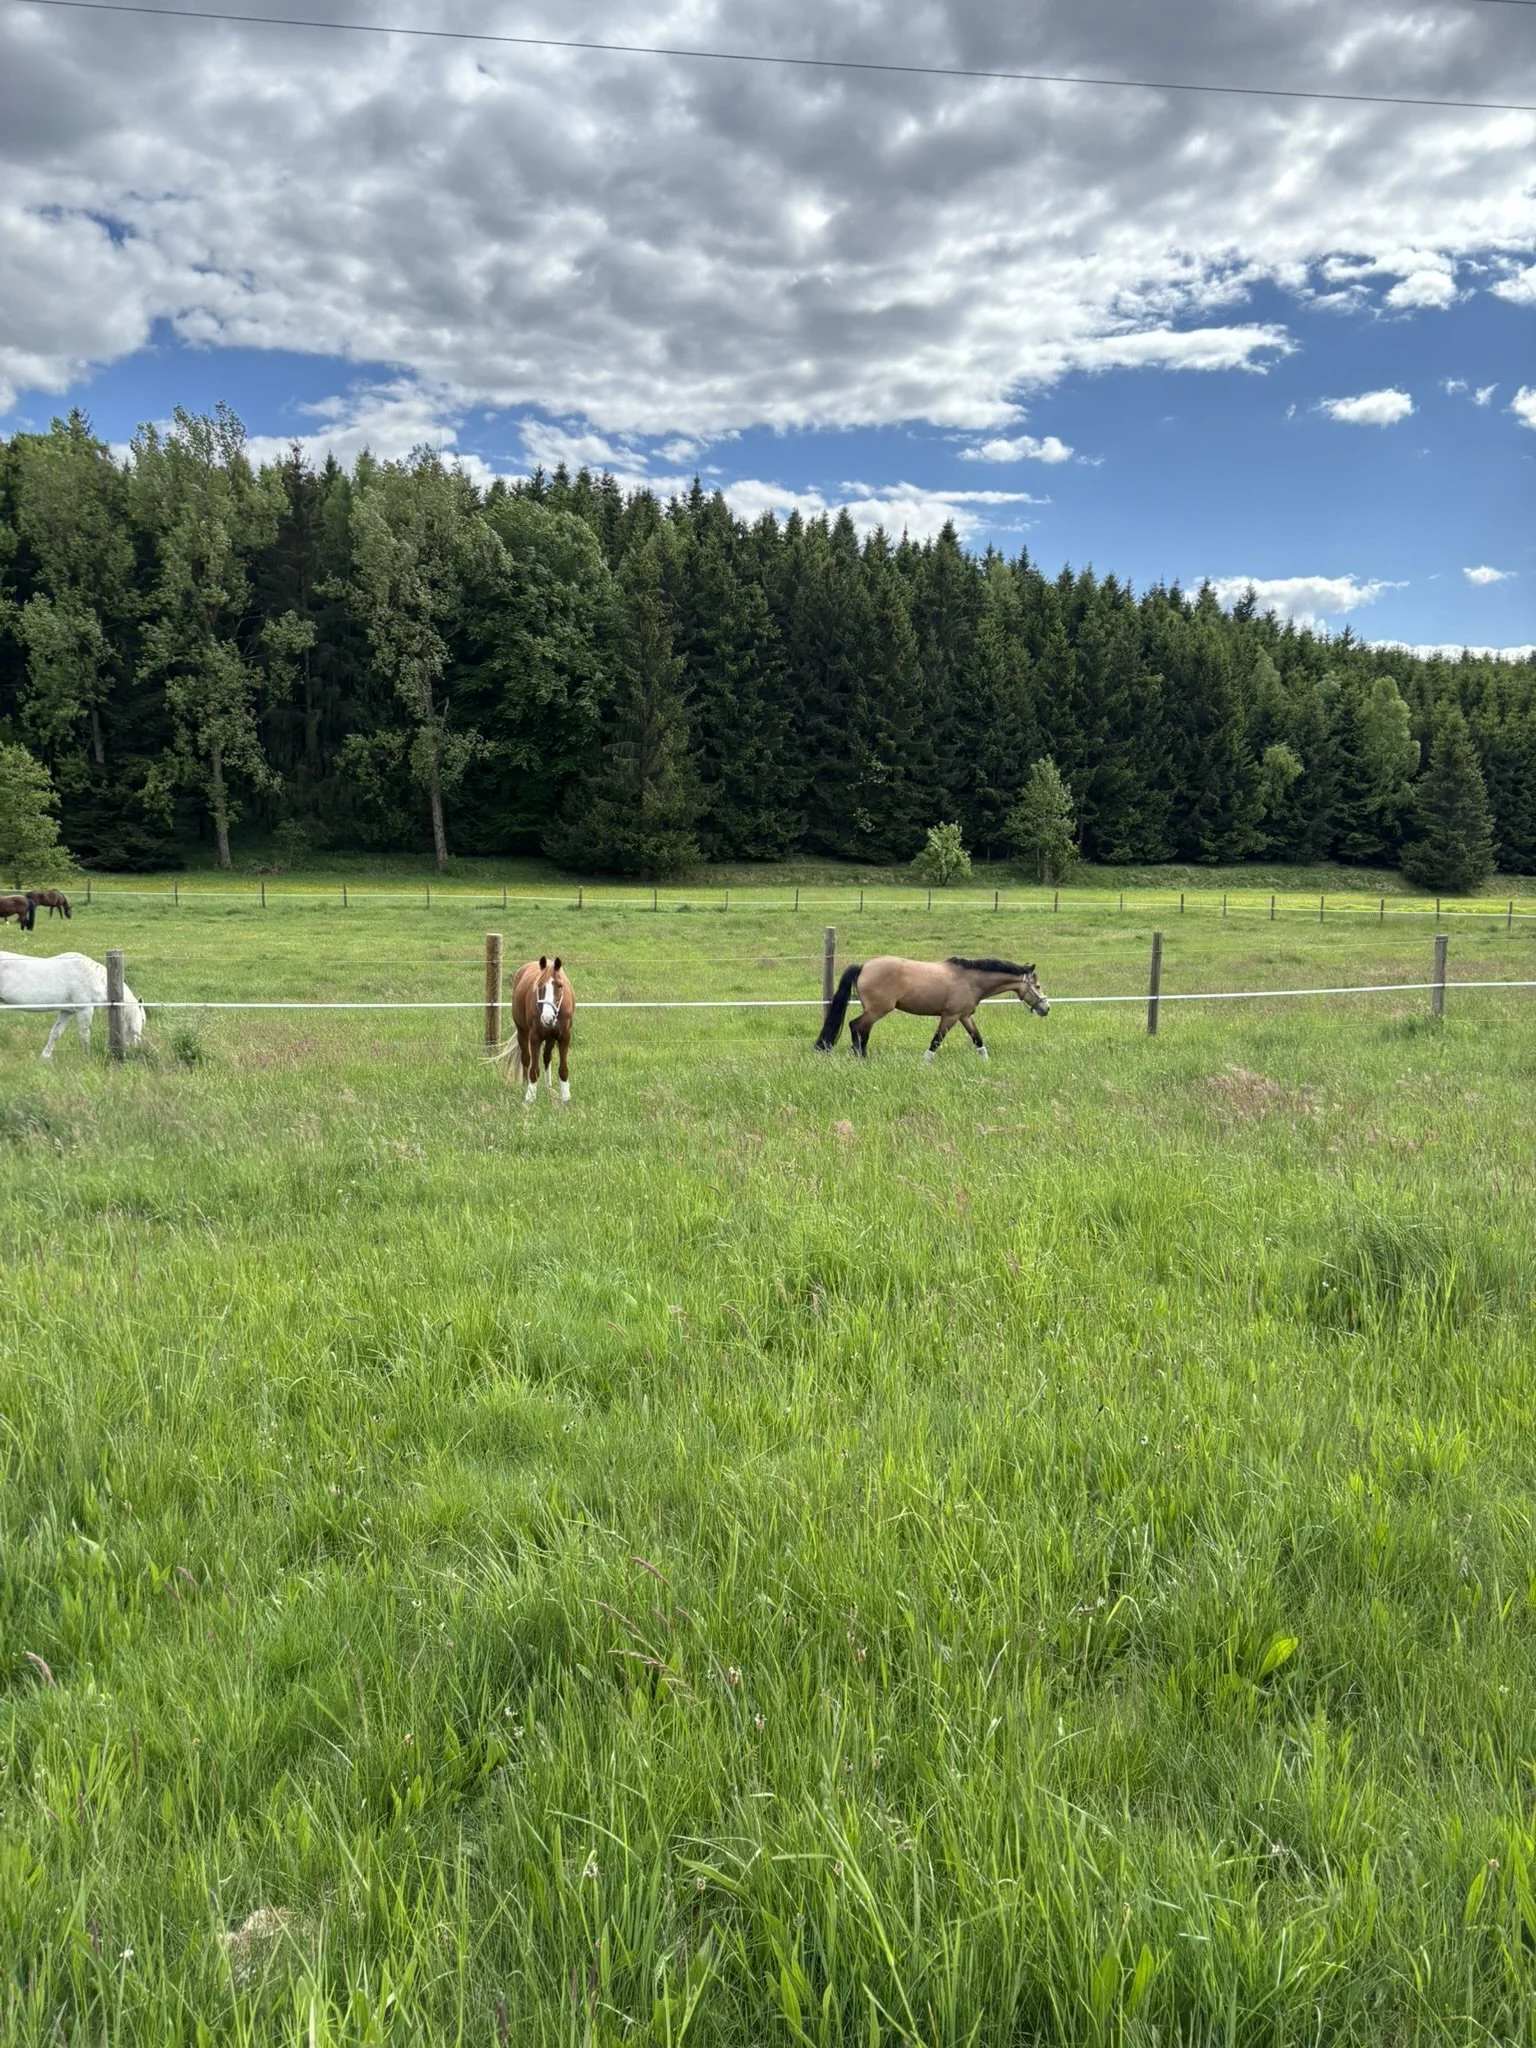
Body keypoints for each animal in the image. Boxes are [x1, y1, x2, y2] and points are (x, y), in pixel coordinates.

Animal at [0, 951, 146, 1058]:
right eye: (143, 1019)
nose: (137, 1049)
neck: (93, 977)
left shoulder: (67, 1011)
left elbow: (55, 1033)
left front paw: (45, 1057)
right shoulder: (85, 1010)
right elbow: (84, 1035)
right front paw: (86, 1057)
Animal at [496, 955, 575, 1103]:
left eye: (560, 985)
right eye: (539, 986)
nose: (548, 1018)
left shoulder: (564, 1037)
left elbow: (563, 1069)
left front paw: (565, 1097)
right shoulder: (535, 1037)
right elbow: (534, 1069)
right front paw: (530, 1097)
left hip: (550, 1038)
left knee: (547, 1057)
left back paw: (548, 1086)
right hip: (523, 1032)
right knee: (526, 1059)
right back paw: (525, 1084)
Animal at [815, 954, 1049, 1060]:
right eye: (1037, 986)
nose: (1046, 1009)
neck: (970, 980)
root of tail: (864, 966)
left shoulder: (965, 1016)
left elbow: (978, 1040)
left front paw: (986, 1061)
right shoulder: (950, 1017)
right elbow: (936, 1041)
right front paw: (925, 1062)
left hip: (873, 1010)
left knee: (862, 1029)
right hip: (877, 1010)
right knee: (856, 1026)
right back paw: (861, 1057)